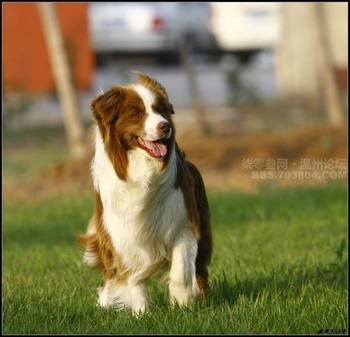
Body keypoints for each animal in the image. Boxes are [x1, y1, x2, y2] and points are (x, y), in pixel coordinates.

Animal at [79, 72, 212, 314]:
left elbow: (180, 270)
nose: (165, 126)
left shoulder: (183, 224)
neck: (142, 171)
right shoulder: (123, 232)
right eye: (136, 113)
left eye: (160, 110)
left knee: (200, 269)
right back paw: (106, 300)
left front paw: (182, 303)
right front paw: (142, 313)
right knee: (111, 272)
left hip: (204, 230)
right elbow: (133, 277)